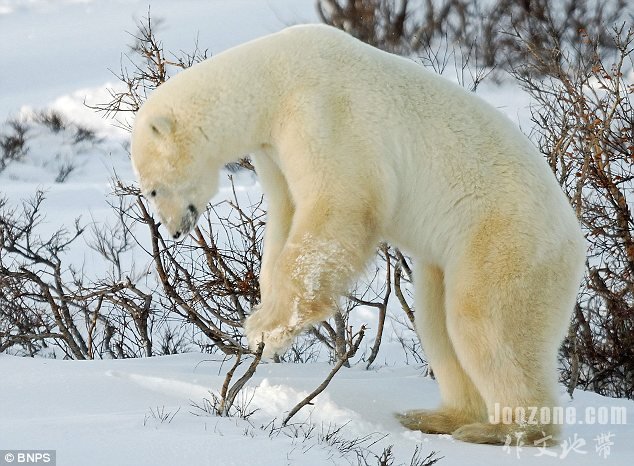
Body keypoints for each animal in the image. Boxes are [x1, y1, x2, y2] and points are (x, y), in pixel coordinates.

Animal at [128, 24, 584, 444]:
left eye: (153, 189)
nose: (174, 230)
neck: (273, 78)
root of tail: (575, 241)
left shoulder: (322, 111)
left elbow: (339, 203)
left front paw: (265, 329)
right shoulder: (273, 150)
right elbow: (287, 216)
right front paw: (265, 316)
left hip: (504, 239)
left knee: (485, 321)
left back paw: (505, 429)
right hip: (453, 258)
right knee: (436, 321)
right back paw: (436, 416)